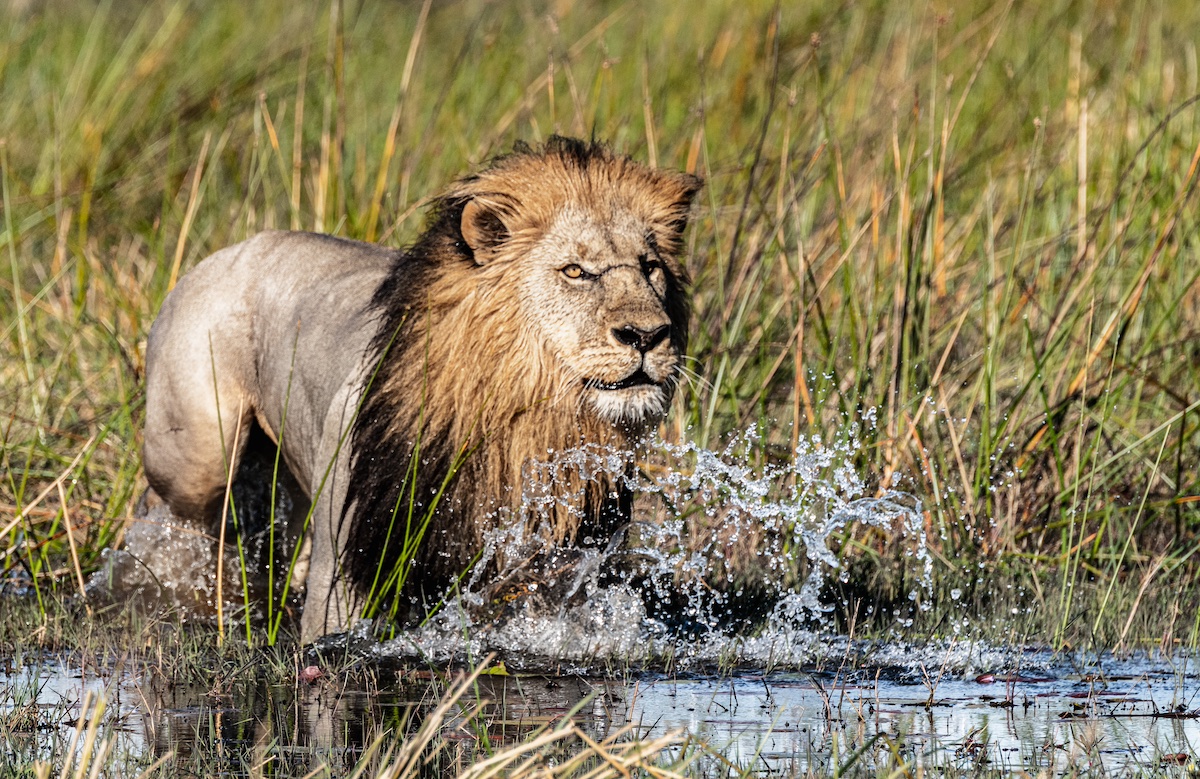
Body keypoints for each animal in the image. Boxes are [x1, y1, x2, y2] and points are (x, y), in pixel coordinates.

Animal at [137, 136, 701, 642]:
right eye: (575, 271)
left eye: (650, 267)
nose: (648, 335)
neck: (524, 427)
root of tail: (232, 249)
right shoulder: (350, 566)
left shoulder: (556, 576)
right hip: (196, 454)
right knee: (178, 516)